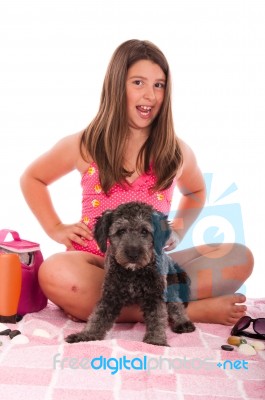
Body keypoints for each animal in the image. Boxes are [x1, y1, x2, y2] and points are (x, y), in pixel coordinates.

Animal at [65, 202, 195, 346]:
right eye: (121, 231)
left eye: (145, 231)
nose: (133, 253)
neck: (133, 273)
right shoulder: (110, 296)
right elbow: (97, 318)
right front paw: (85, 335)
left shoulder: (155, 295)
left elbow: (157, 318)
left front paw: (156, 340)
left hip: (170, 285)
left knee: (176, 304)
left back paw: (182, 322)